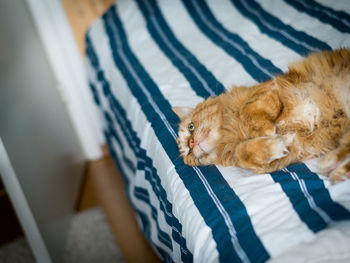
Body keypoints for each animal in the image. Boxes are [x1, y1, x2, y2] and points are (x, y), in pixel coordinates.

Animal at [174, 48, 350, 183]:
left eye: (191, 127)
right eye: (188, 154)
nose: (191, 143)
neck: (232, 132)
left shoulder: (274, 90)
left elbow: (247, 110)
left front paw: (265, 130)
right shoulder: (294, 148)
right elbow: (242, 152)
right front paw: (271, 145)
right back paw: (334, 168)